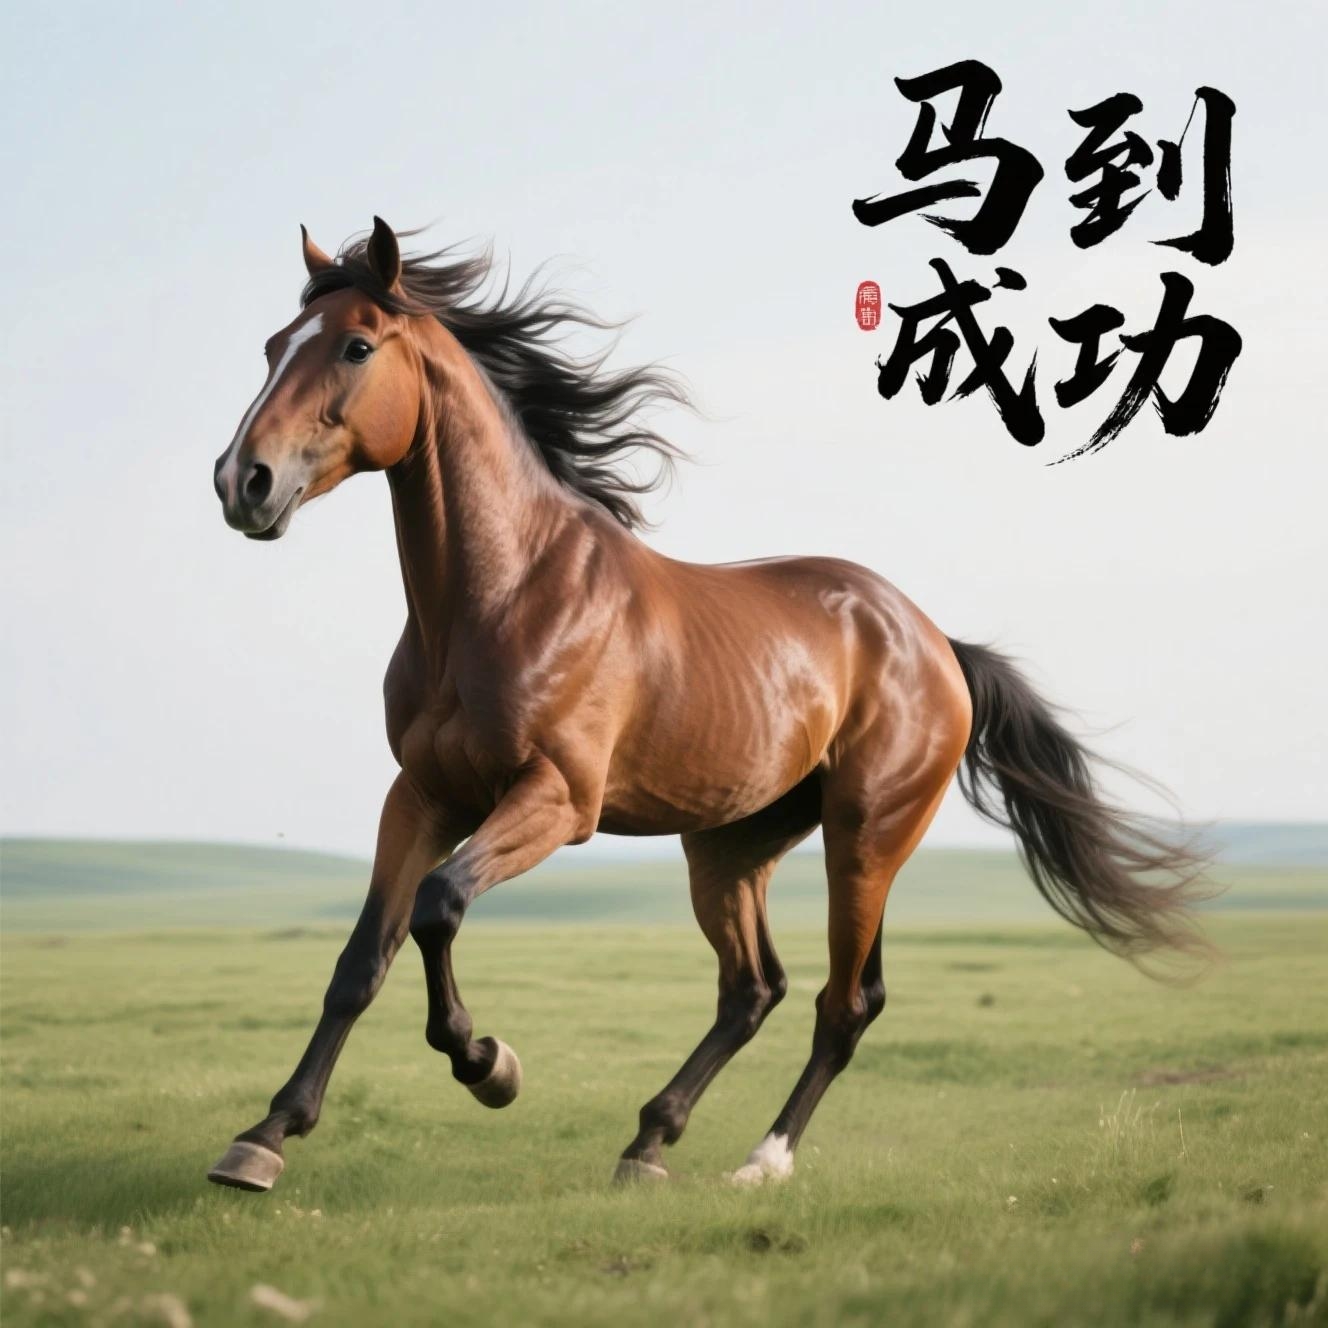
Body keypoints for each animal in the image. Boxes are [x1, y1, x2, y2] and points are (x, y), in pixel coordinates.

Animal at [207, 218, 1207, 1193]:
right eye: (271, 346)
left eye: (355, 346)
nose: (241, 481)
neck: (502, 597)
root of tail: (936, 644)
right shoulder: (421, 796)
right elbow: (361, 960)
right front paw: (264, 1137)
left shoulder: (557, 800)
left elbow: (439, 906)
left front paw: (489, 1065)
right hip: (730, 846)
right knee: (753, 988)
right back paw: (649, 1139)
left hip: (866, 836)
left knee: (844, 1002)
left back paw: (761, 1161)